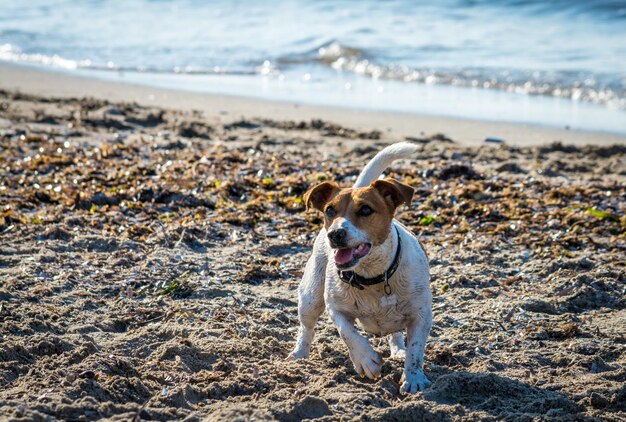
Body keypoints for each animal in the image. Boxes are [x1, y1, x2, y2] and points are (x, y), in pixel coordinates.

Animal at [286, 142, 428, 392]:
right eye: (330, 210)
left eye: (366, 210)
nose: (335, 234)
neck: (372, 276)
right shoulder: (335, 308)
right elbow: (349, 334)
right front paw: (366, 360)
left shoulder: (421, 315)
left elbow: (416, 350)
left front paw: (413, 378)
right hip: (310, 297)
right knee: (306, 327)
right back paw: (300, 354)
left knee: (396, 334)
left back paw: (398, 350)